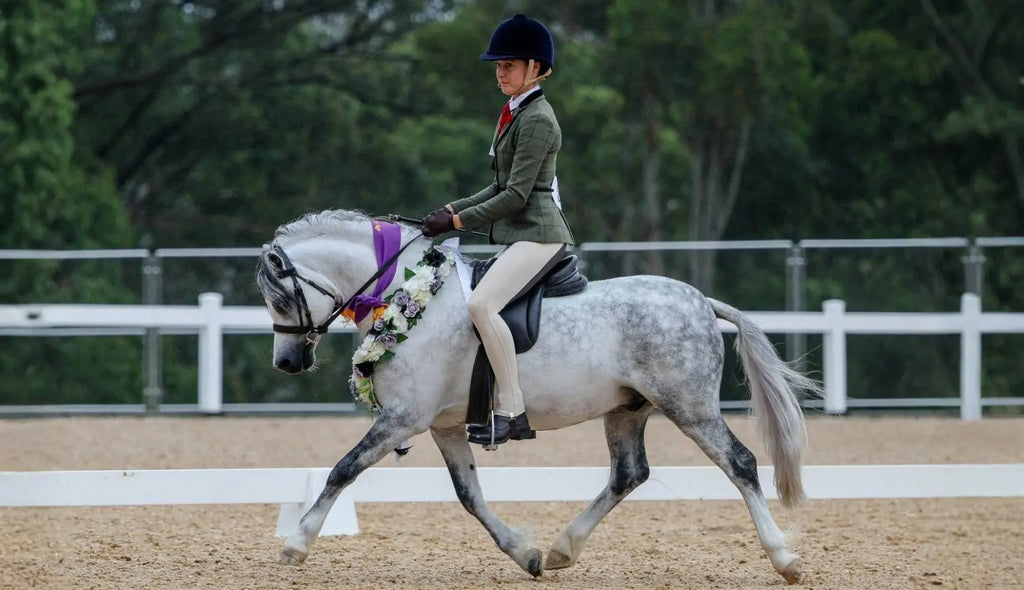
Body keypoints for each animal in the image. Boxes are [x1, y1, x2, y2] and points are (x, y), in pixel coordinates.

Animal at [255, 209, 820, 584]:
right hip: (626, 411)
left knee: (740, 463)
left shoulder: (403, 418)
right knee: (628, 474)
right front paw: (523, 553)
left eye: (279, 297)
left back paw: (785, 559)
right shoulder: (443, 425)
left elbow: (342, 470)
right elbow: (469, 496)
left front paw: (297, 544)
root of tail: (703, 302)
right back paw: (562, 550)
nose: (286, 363)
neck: (409, 296)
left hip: (690, 407)